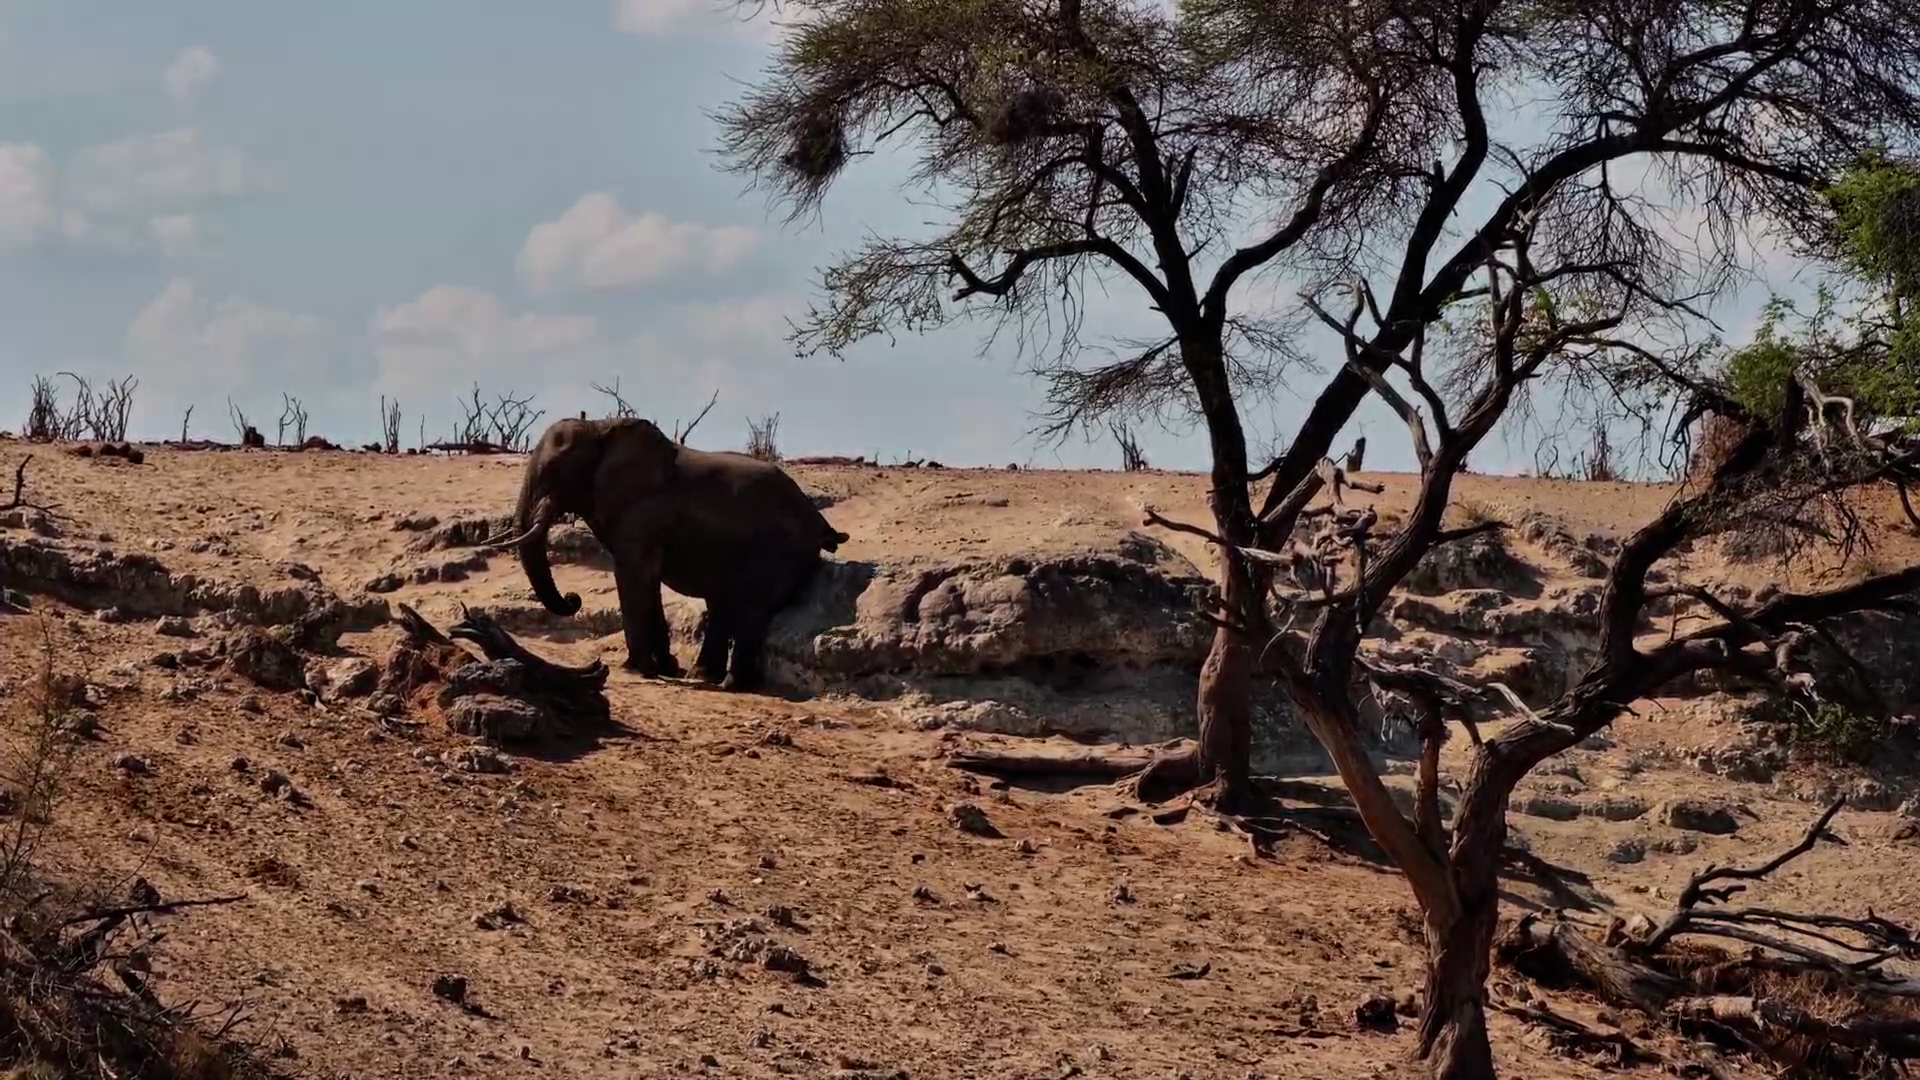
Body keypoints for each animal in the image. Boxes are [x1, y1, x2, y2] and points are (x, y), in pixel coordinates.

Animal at [491, 415, 848, 692]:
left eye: (554, 469)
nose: (572, 599)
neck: (600, 426)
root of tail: (821, 525)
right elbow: (647, 583)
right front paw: (665, 669)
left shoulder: (643, 513)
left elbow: (634, 577)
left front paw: (639, 669)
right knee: (724, 603)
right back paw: (703, 675)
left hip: (778, 550)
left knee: (749, 605)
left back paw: (730, 684)